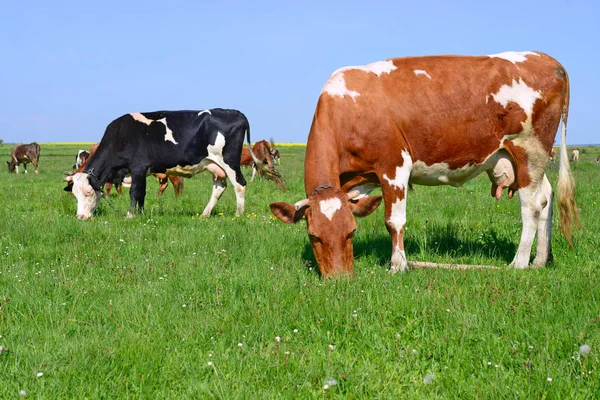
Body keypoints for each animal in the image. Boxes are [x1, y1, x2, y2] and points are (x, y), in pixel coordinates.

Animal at [63, 108, 268, 219]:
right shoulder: (143, 171)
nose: (80, 217)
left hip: (229, 161)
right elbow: (142, 194)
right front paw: (141, 214)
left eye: (88, 192)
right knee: (219, 187)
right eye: (74, 195)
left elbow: (134, 192)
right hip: (215, 166)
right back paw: (205, 214)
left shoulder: (138, 167)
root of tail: (235, 112)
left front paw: (130, 215)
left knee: (239, 185)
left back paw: (238, 215)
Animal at [270, 50, 576, 278]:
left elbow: (394, 221)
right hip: (527, 160)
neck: (347, 109)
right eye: (313, 236)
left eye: (351, 232)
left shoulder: (394, 166)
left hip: (529, 150)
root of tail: (548, 59)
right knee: (546, 197)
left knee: (531, 207)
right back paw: (540, 260)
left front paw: (398, 265)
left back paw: (519, 263)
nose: (340, 280)